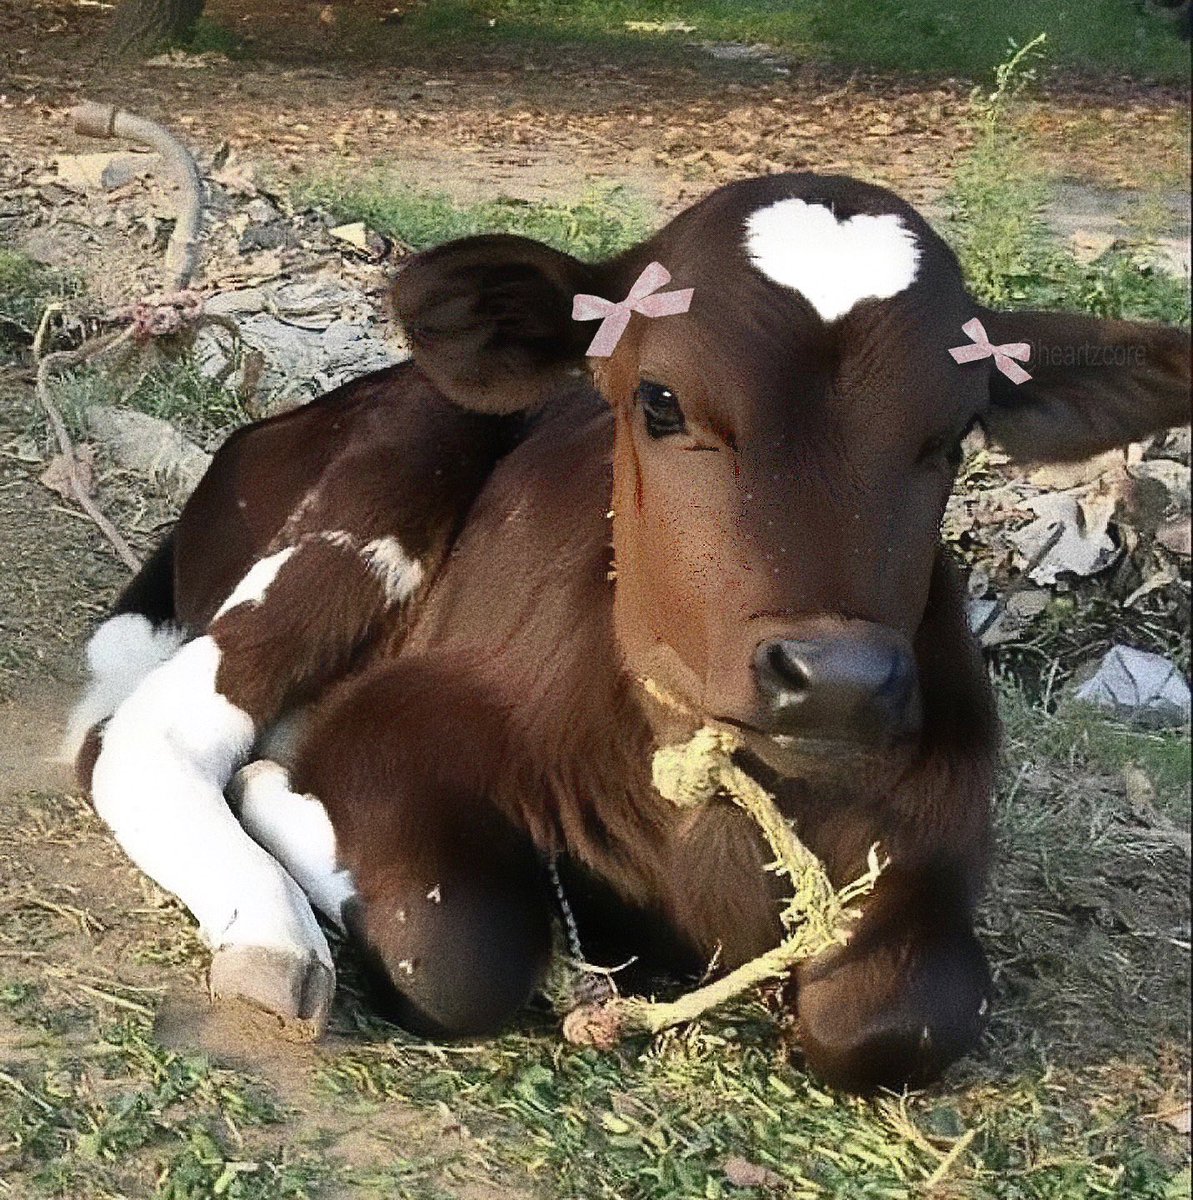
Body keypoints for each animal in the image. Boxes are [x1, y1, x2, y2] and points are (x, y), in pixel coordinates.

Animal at [67, 173, 1189, 1094]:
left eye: (950, 438)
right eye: (659, 400)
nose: (834, 678)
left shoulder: (944, 837)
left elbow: (891, 1015)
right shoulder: (398, 723)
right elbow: (452, 944)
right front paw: (284, 801)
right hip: (394, 469)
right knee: (149, 734)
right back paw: (271, 929)